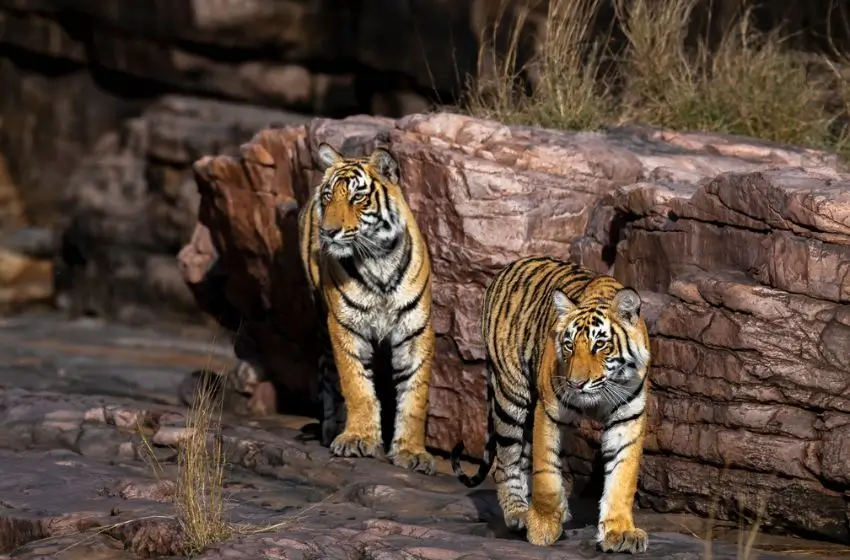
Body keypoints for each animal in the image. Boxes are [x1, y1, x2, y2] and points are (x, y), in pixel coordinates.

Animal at [297, 142, 436, 475]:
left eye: (357, 197)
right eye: (328, 197)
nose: (328, 231)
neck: (379, 260)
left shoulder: (416, 330)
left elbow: (416, 395)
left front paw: (412, 452)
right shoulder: (344, 326)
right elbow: (357, 386)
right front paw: (358, 438)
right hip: (321, 319)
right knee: (327, 372)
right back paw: (331, 428)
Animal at [451, 255, 651, 552]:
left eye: (600, 345)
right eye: (569, 346)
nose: (577, 383)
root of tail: (507, 267)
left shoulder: (627, 418)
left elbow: (622, 476)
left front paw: (620, 532)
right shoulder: (550, 410)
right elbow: (546, 472)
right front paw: (543, 527)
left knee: (521, 456)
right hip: (512, 394)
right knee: (506, 460)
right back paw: (519, 513)